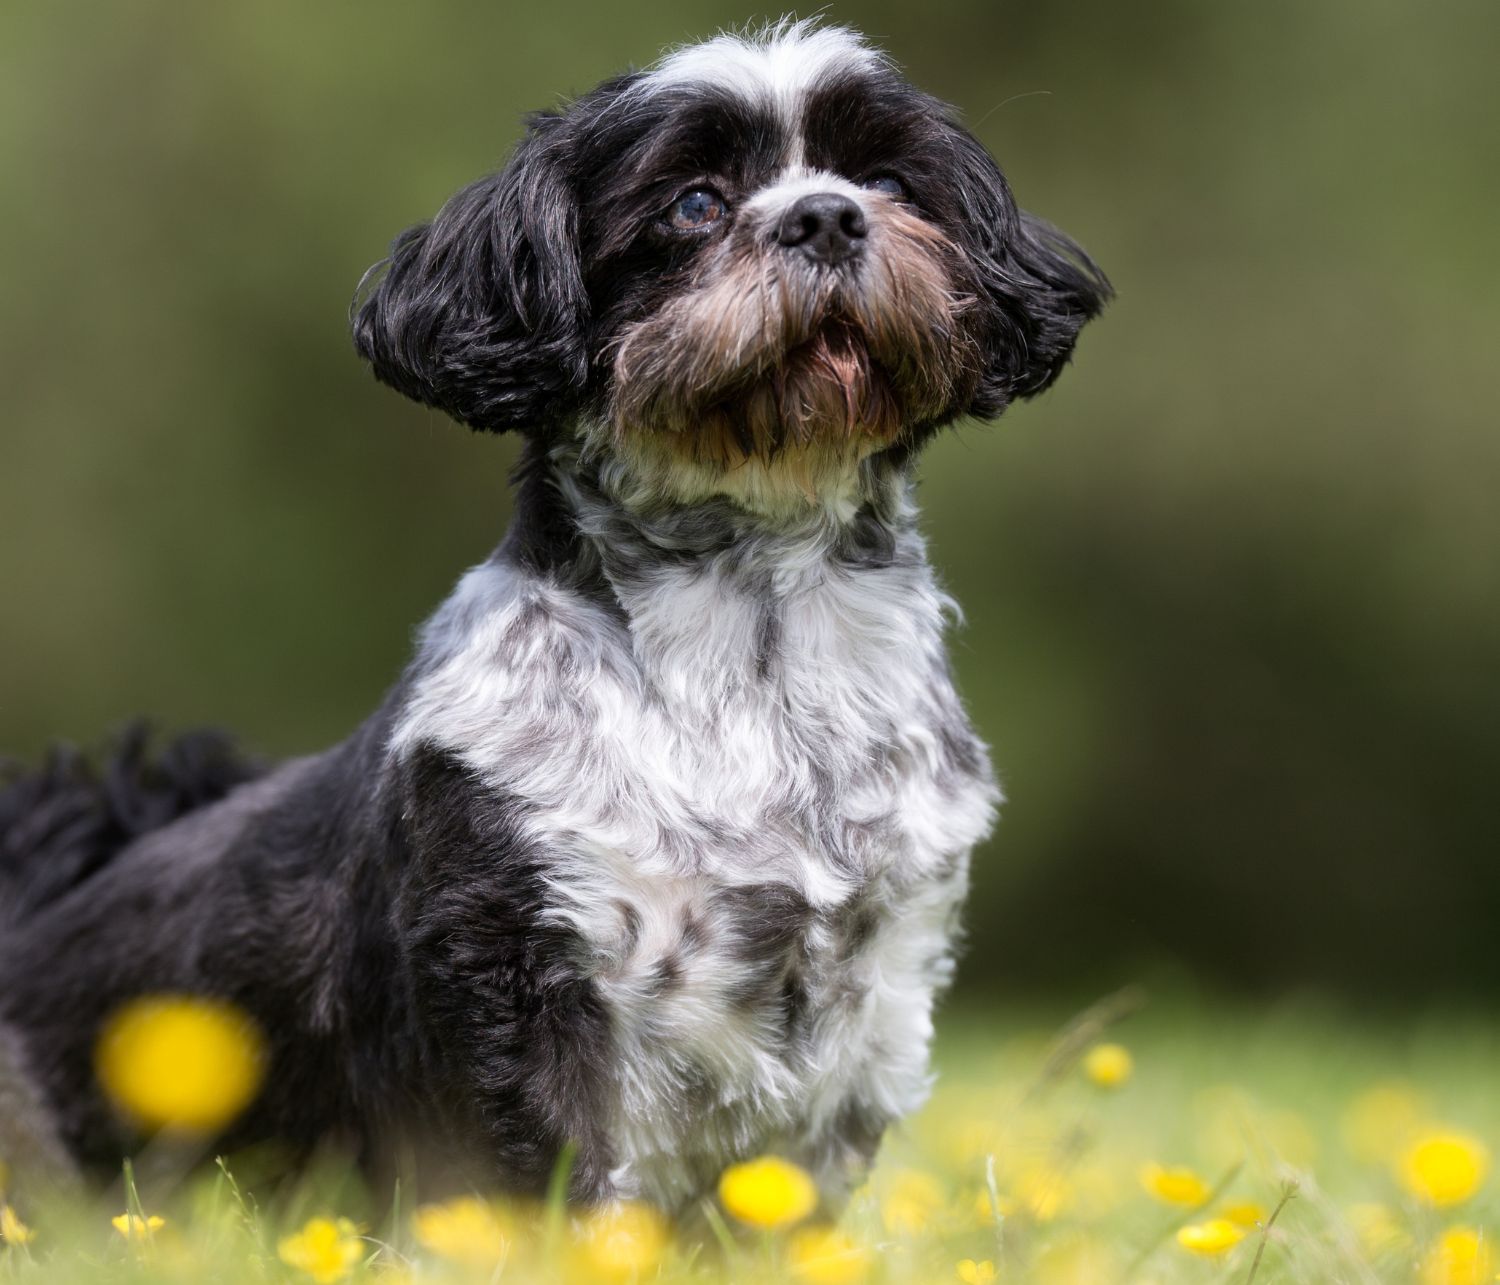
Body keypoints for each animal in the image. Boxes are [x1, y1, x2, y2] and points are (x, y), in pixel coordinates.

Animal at [0, 20, 1104, 1205]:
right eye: (695, 204)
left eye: (891, 183)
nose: (826, 214)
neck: (753, 649)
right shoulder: (520, 968)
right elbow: (559, 1189)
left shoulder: (874, 986)